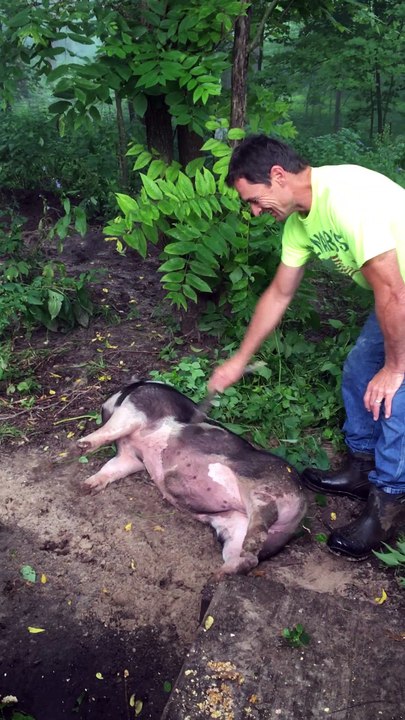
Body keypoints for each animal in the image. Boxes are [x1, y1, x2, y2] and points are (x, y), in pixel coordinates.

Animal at [77, 380, 307, 576]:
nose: (102, 407)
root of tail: (299, 514)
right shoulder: (131, 457)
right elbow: (111, 467)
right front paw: (85, 487)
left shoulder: (139, 405)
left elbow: (113, 428)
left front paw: (82, 445)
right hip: (234, 527)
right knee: (249, 559)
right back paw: (219, 574)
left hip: (265, 489)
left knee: (263, 517)